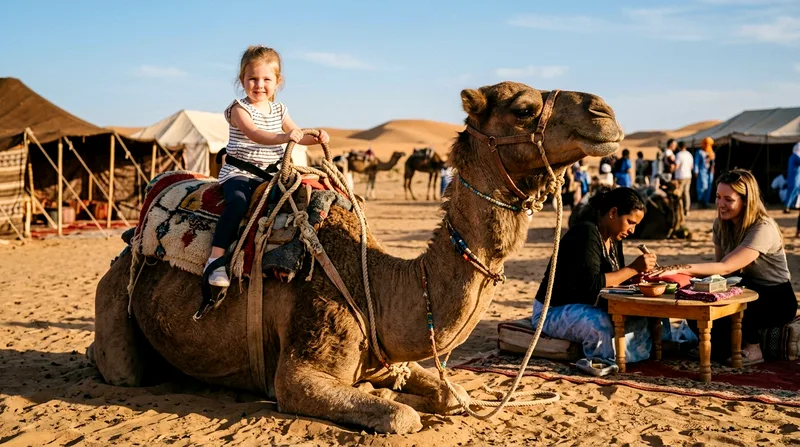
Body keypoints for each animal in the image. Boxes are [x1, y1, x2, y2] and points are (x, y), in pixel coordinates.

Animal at [92, 82, 622, 434]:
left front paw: (402, 390)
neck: (378, 285)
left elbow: (454, 393)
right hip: (112, 300)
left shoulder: (392, 356)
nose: (606, 113)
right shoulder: (300, 370)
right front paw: (386, 398)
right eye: (524, 108)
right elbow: (402, 416)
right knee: (119, 366)